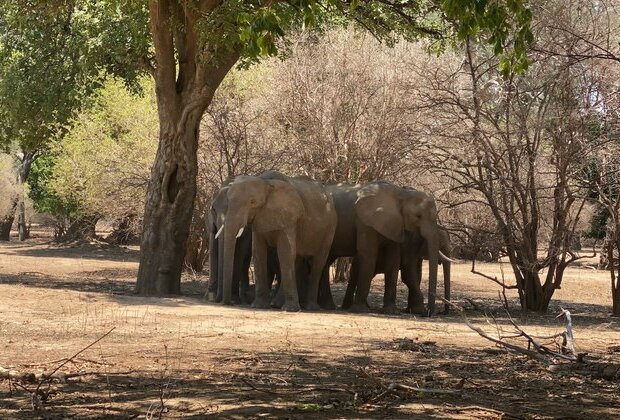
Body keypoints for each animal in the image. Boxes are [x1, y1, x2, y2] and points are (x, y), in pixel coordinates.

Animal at [220, 171, 336, 312]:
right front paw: (258, 306)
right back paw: (276, 304)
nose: (229, 303)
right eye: (228, 200)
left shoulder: (289, 217)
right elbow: (258, 252)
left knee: (318, 263)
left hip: (330, 228)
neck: (265, 182)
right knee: (296, 259)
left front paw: (291, 310)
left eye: (252, 202)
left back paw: (310, 307)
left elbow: (284, 252)